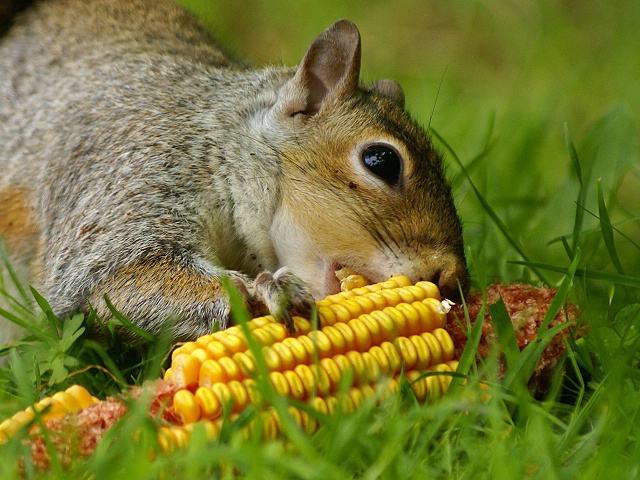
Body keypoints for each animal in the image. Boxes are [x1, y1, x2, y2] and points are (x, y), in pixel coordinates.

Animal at [0, 0, 470, 344]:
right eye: (381, 161)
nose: (452, 280)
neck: (215, 140)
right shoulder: (128, 176)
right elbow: (115, 275)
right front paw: (265, 292)